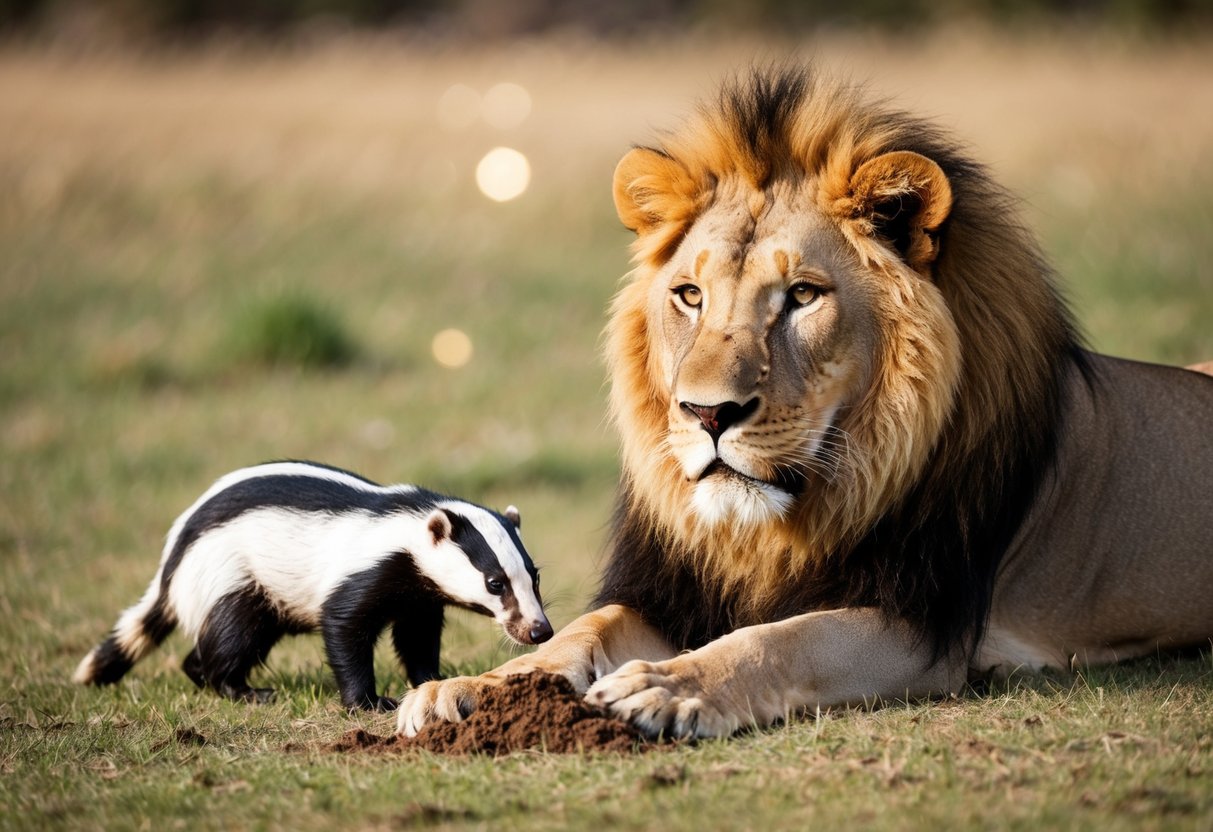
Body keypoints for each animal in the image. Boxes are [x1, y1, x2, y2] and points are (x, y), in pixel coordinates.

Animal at [398, 65, 1213, 739]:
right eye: (689, 295)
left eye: (801, 296)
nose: (707, 414)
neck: (772, 529)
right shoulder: (675, 592)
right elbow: (584, 630)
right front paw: (469, 689)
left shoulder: (925, 625)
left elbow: (785, 638)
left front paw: (668, 686)